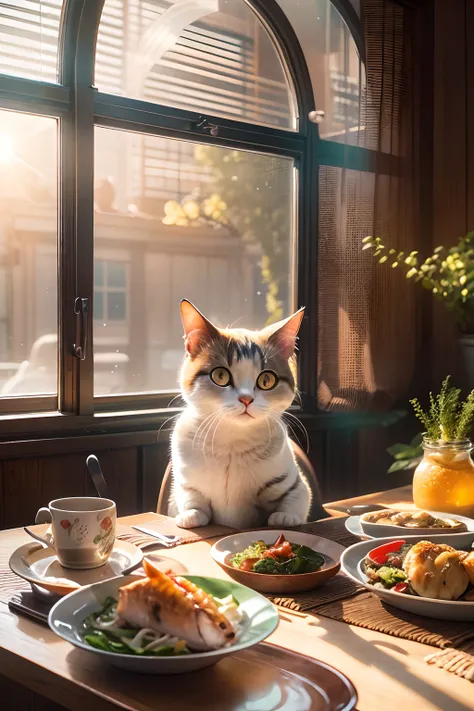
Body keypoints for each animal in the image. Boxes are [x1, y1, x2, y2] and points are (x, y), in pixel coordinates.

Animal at [168, 298, 312, 532]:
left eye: (266, 380)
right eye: (220, 375)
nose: (246, 399)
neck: (232, 442)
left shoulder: (294, 483)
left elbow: (298, 497)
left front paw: (285, 517)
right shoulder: (185, 481)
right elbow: (190, 497)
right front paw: (191, 515)